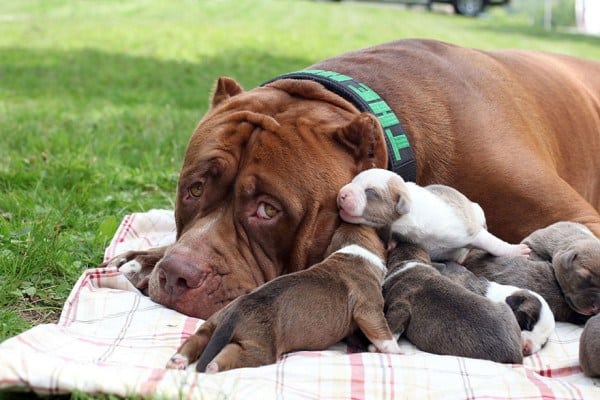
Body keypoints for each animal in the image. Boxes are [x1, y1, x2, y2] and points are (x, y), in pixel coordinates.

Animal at [164, 223, 400, 374]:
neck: (354, 249)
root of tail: (235, 313)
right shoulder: (369, 309)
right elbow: (382, 333)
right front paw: (396, 351)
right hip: (260, 347)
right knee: (230, 354)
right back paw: (213, 366)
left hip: (212, 323)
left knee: (197, 339)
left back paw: (178, 360)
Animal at [338, 166, 528, 262]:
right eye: (353, 180)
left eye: (370, 192)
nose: (341, 194)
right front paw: (392, 242)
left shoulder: (464, 229)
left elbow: (491, 242)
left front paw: (515, 250)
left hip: (477, 210)